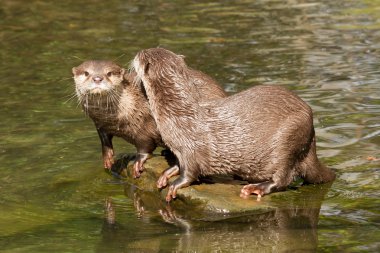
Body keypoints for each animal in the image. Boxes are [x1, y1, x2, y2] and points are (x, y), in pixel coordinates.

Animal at [72, 59, 226, 178]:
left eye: (109, 73)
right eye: (86, 73)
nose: (97, 78)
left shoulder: (144, 125)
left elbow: (145, 146)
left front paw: (139, 161)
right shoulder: (100, 124)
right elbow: (104, 139)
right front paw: (107, 157)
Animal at [133, 47, 336, 202]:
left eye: (141, 55)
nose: (136, 53)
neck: (178, 113)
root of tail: (311, 129)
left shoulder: (191, 148)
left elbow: (190, 173)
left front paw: (175, 185)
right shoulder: (179, 149)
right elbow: (177, 163)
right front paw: (166, 174)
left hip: (289, 138)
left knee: (284, 178)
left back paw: (256, 188)